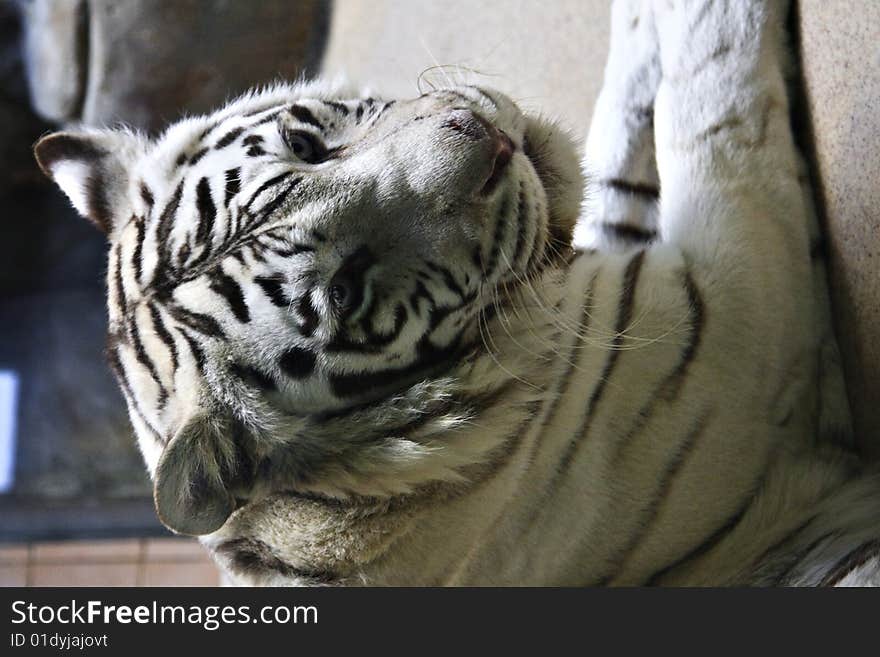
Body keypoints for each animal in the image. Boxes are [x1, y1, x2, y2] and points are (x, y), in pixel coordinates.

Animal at [32, 0, 880, 584]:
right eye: (346, 290)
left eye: (305, 146)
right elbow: (711, 104)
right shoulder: (741, 301)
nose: (487, 143)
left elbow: (619, 138)